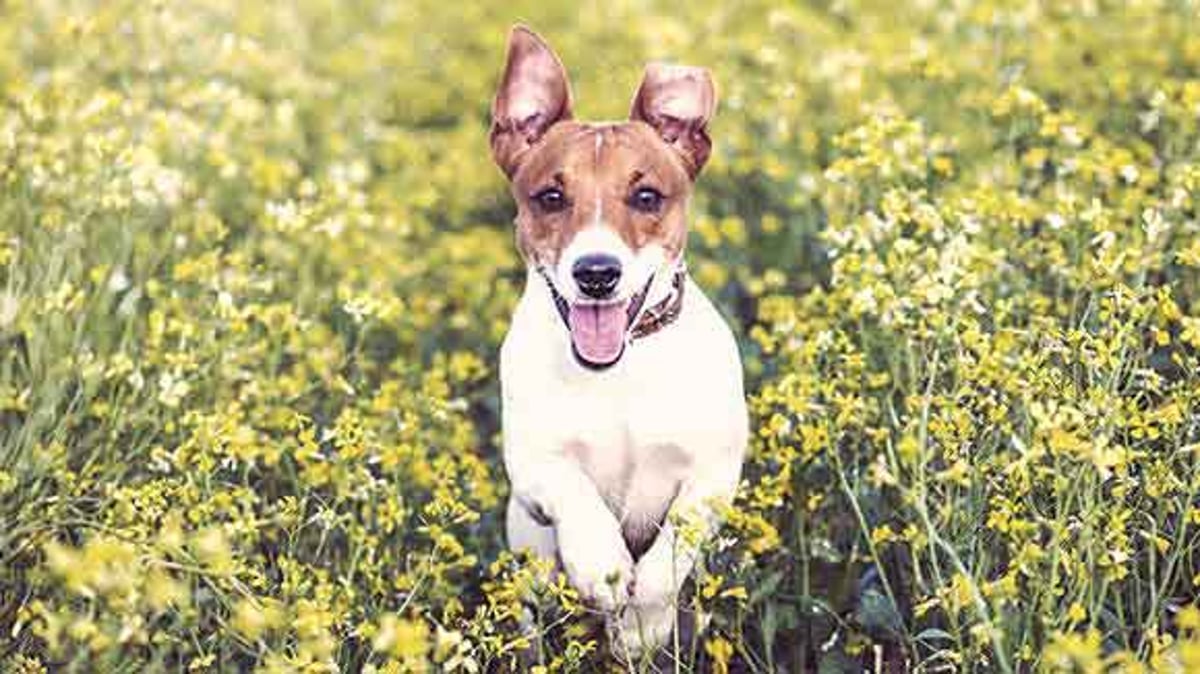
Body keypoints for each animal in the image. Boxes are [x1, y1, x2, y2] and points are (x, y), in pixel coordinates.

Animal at [492, 27, 744, 657]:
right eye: (550, 197)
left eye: (647, 197)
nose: (597, 273)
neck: (619, 374)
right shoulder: (530, 466)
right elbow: (574, 493)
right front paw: (601, 566)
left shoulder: (713, 475)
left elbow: (672, 548)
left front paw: (639, 627)